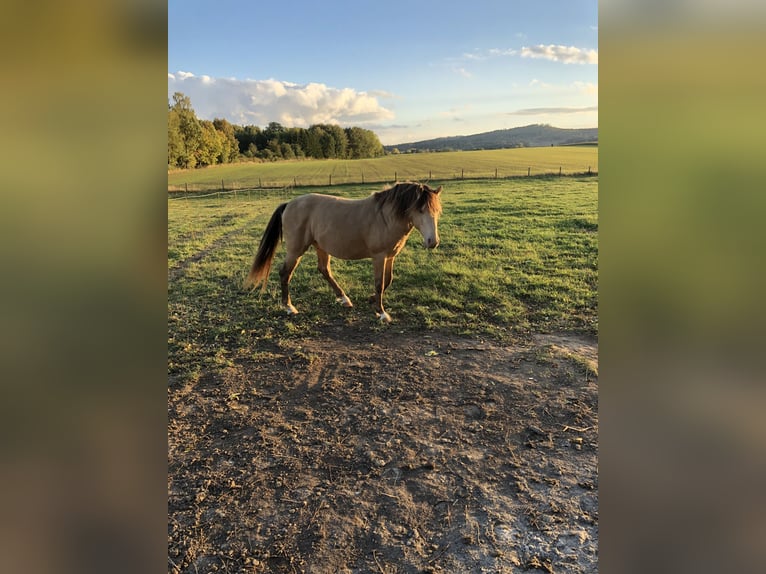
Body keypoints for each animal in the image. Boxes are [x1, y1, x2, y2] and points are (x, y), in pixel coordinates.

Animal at [244, 182, 442, 322]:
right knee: (285, 273)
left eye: (437, 212)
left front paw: (371, 300)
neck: (385, 217)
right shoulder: (379, 257)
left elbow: (388, 280)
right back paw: (289, 307)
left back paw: (344, 298)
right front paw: (381, 313)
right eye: (420, 210)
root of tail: (289, 204)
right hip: (296, 250)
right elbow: (379, 283)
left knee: (324, 270)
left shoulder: (390, 257)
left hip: (320, 247)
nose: (432, 242)